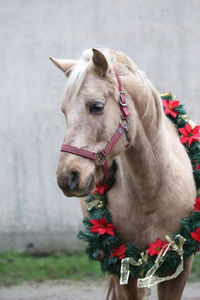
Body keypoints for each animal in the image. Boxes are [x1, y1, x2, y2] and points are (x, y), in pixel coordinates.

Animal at [50, 48, 195, 298]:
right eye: (64, 111)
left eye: (96, 106)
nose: (67, 177)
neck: (152, 192)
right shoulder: (122, 266)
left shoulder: (180, 267)